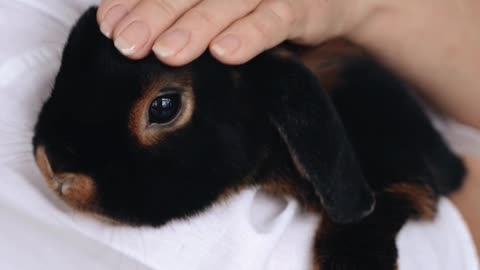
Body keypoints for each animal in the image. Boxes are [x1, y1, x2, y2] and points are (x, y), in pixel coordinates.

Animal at [32, 6, 464, 270]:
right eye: (65, 61)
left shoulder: (404, 173)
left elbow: (384, 205)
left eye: (164, 107)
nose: (53, 164)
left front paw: (352, 261)